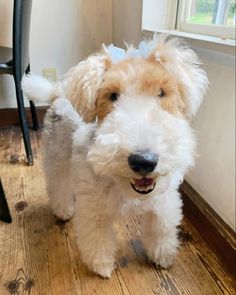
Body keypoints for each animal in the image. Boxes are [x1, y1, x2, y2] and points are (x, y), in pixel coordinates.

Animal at [22, 35, 206, 278]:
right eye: (112, 96)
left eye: (161, 93)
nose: (144, 161)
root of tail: (59, 94)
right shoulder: (95, 210)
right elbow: (98, 241)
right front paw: (102, 266)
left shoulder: (163, 203)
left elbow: (161, 232)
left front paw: (163, 258)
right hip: (57, 158)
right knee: (58, 186)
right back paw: (63, 211)